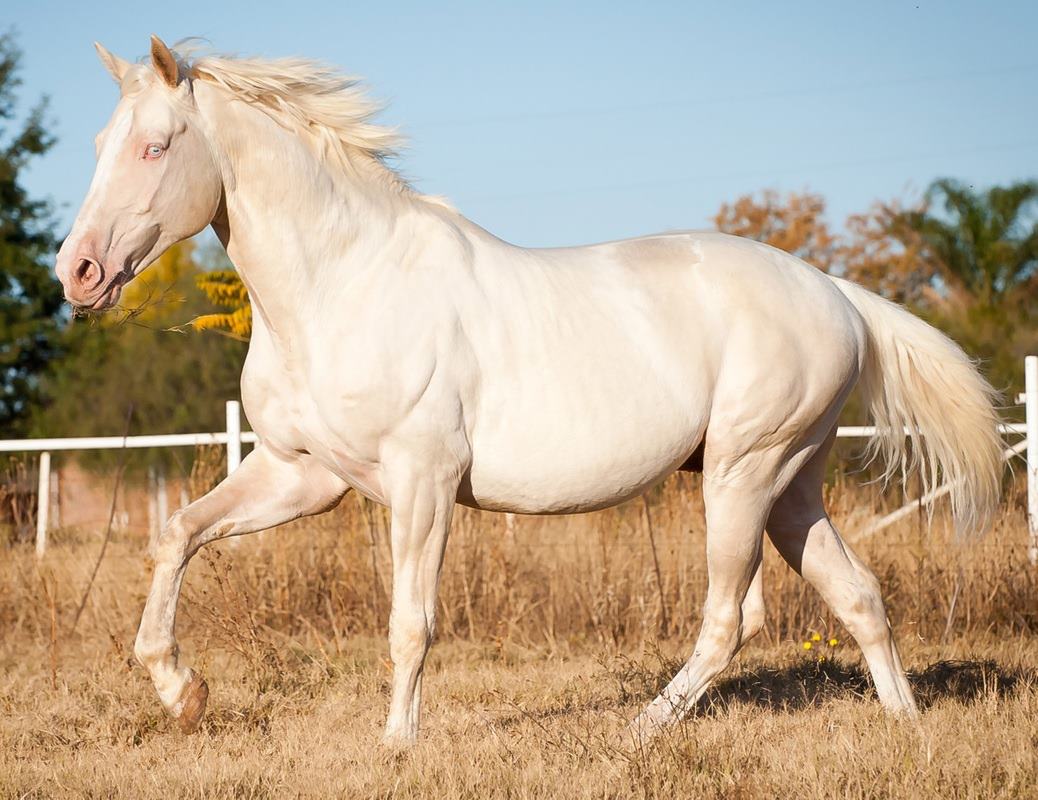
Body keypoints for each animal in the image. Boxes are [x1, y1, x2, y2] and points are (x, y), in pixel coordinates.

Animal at [54, 34, 1004, 742]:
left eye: (155, 145)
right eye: (100, 145)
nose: (79, 272)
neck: (343, 283)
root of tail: (834, 293)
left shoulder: (423, 481)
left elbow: (411, 621)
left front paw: (397, 745)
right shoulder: (301, 475)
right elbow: (176, 535)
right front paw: (183, 692)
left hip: (746, 474)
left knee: (731, 619)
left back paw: (640, 729)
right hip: (792, 485)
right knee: (858, 596)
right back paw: (905, 726)